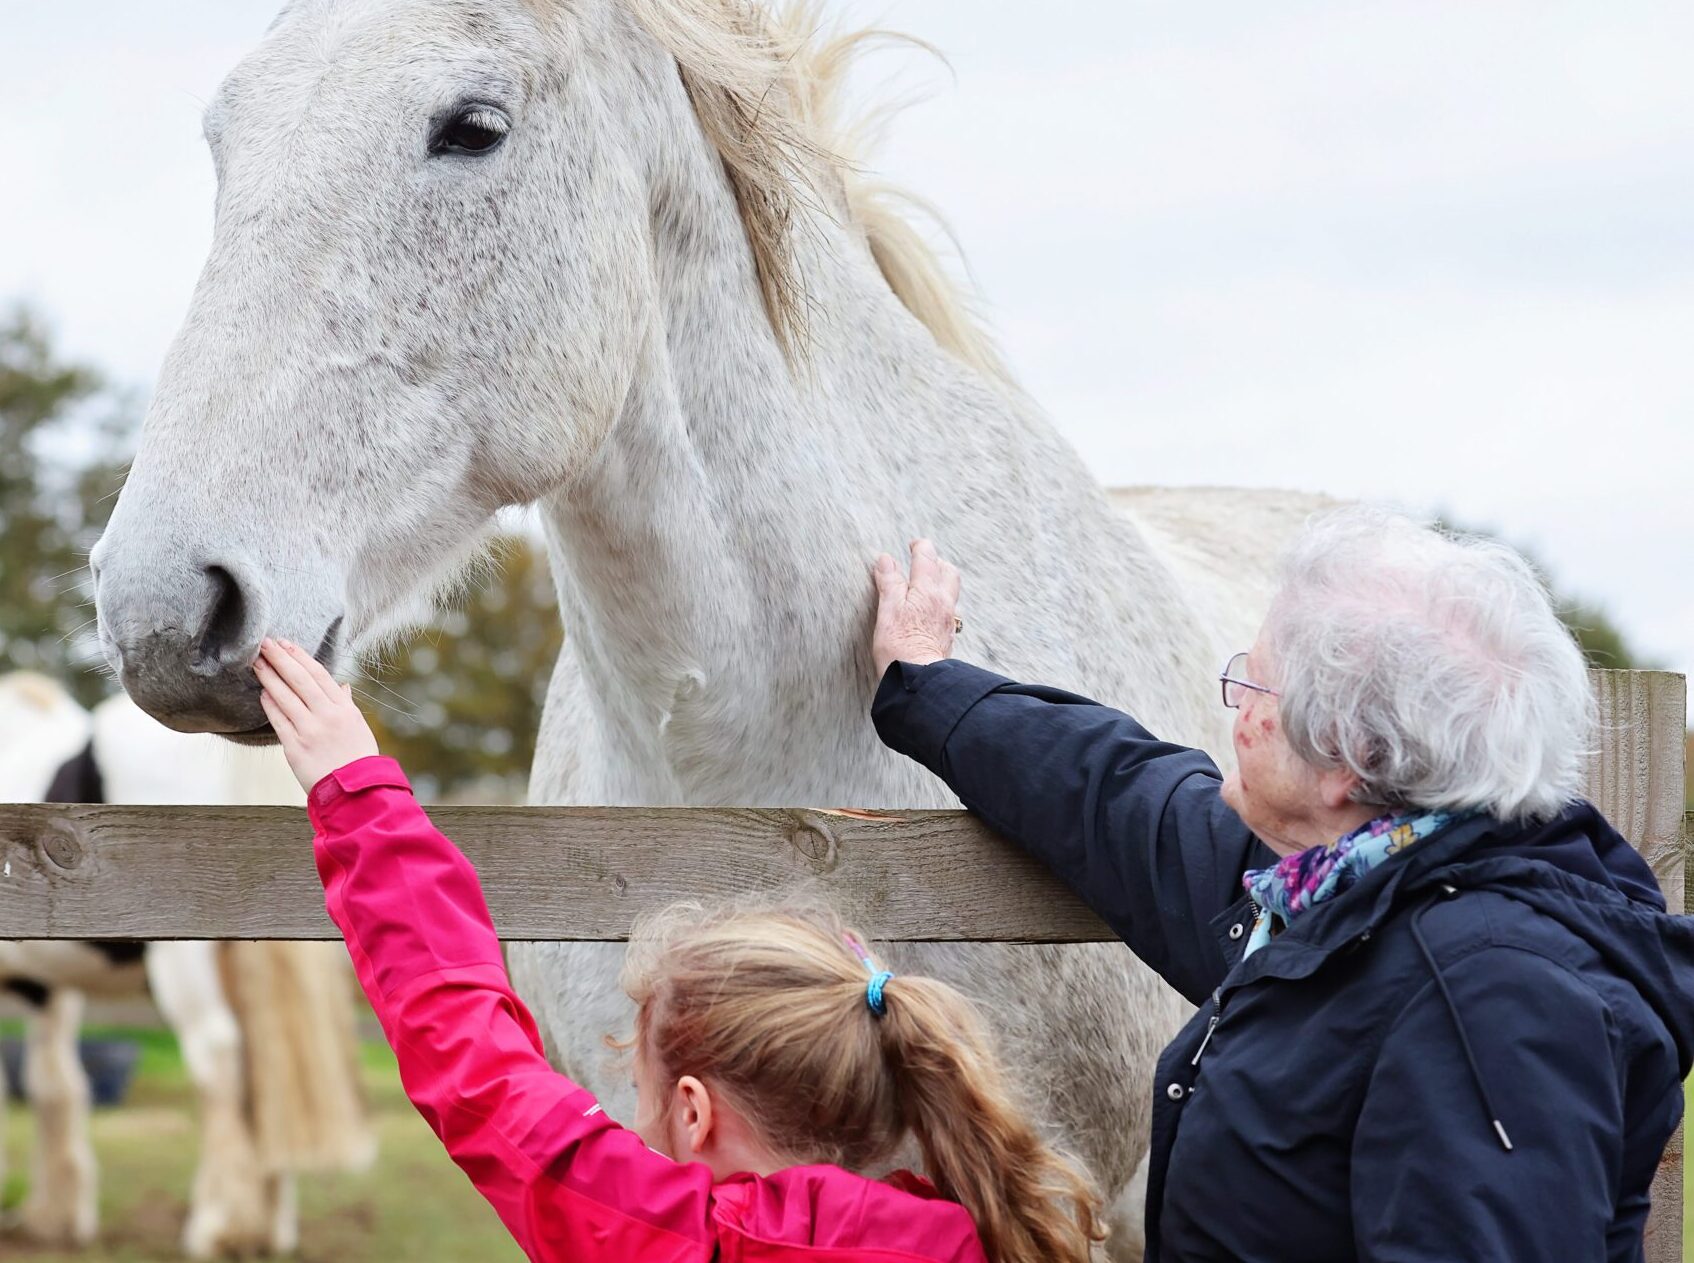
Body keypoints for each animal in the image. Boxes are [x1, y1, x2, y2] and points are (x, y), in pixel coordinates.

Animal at [0, 672, 374, 1258]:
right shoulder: (50, 989)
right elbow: (55, 1084)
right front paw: (55, 1217)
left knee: (219, 1061)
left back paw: (220, 1226)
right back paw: (270, 1226)